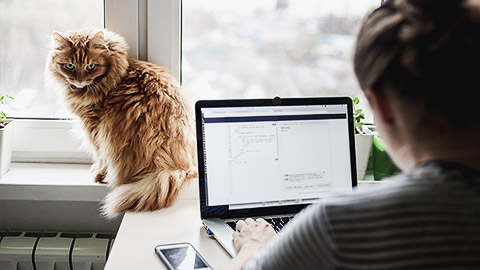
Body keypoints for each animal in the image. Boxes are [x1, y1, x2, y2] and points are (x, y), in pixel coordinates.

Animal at [44, 28, 195, 217]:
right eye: (69, 66)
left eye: (90, 66)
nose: (79, 81)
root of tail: (180, 167)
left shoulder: (94, 127)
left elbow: (99, 155)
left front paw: (98, 173)